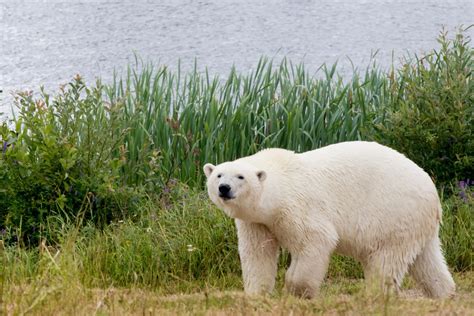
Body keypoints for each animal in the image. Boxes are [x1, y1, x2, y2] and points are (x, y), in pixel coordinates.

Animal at [203, 141, 456, 298]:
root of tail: (433, 194)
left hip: (394, 215)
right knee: (426, 262)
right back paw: (445, 293)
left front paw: (296, 291)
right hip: (414, 223)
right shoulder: (257, 222)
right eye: (218, 175)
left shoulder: (299, 206)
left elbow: (315, 241)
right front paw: (257, 294)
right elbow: (257, 253)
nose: (224, 188)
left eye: (240, 176)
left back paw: (374, 296)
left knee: (385, 261)